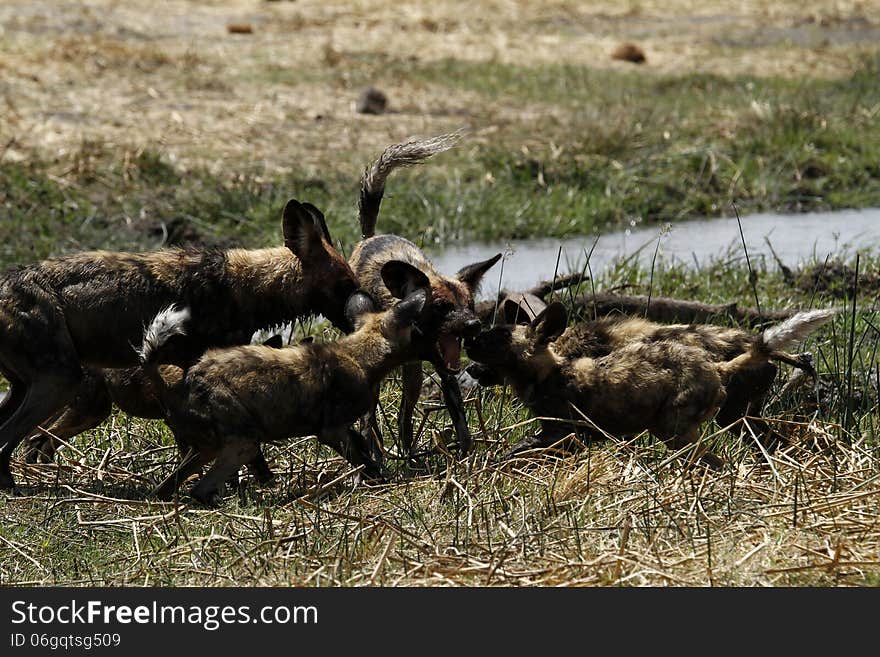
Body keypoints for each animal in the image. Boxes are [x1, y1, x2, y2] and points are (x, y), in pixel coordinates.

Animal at [0, 197, 360, 490]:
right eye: (345, 284)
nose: (361, 310)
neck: (246, 287)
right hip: (60, 382)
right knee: (13, 438)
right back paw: (12, 486)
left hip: (37, 391)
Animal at [142, 284, 430, 504]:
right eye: (417, 332)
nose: (431, 342)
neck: (359, 356)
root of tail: (176, 385)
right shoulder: (332, 431)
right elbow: (364, 461)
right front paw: (380, 480)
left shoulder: (341, 429)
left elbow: (361, 445)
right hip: (243, 444)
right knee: (198, 490)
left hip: (204, 451)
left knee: (165, 490)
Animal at [348, 135, 502, 456]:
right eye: (441, 307)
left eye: (470, 305)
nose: (473, 325)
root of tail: (371, 238)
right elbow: (368, 424)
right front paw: (371, 460)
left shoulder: (446, 373)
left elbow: (462, 426)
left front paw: (466, 459)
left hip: (414, 378)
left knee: (405, 418)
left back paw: (409, 453)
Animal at [464, 304, 836, 464]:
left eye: (495, 337)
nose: (468, 342)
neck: (550, 372)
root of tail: (718, 364)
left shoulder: (562, 437)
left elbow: (516, 451)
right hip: (737, 420)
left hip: (675, 429)